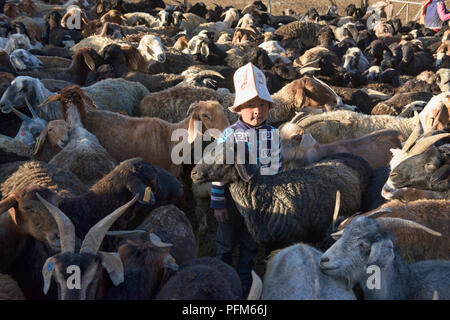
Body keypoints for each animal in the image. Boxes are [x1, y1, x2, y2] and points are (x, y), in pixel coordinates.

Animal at [192, 142, 370, 250]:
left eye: (224, 157)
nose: (193, 173)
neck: (263, 196)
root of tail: (352, 156)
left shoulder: (290, 240)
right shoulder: (268, 245)